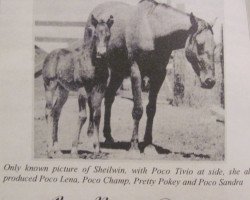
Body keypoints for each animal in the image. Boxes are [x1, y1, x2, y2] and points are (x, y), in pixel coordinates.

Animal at [42, 14, 114, 159]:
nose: (101, 54)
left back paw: (57, 149)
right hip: (50, 85)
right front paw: (74, 149)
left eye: (108, 35)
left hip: (63, 90)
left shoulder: (100, 90)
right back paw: (49, 150)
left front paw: (97, 149)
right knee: (48, 111)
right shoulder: (82, 90)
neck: (94, 64)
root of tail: (49, 55)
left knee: (56, 111)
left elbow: (97, 115)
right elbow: (83, 116)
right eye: (95, 35)